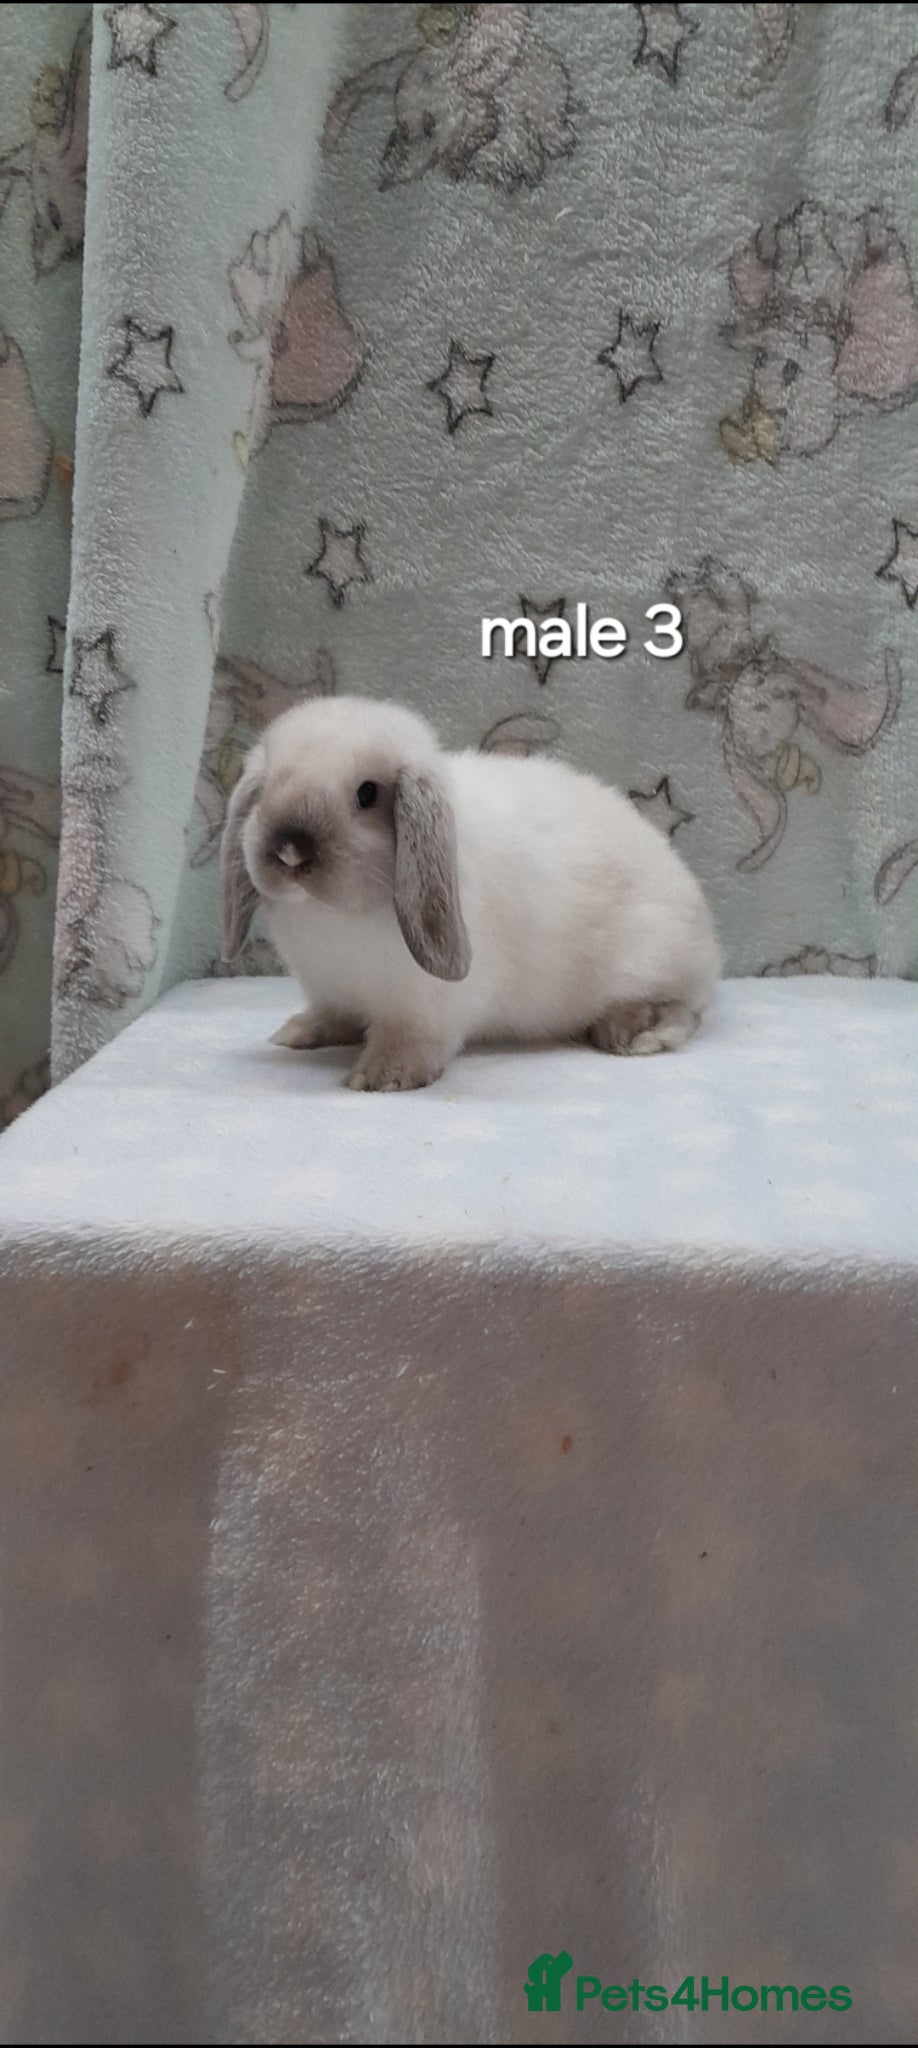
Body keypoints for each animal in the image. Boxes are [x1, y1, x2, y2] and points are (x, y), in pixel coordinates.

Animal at [221, 695, 721, 1091]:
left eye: (367, 793)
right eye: (266, 788)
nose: (289, 852)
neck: (334, 917)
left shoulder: (423, 1008)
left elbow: (411, 1040)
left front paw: (382, 1077)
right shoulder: (329, 990)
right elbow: (332, 1014)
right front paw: (298, 1033)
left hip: (654, 961)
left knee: (685, 1010)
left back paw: (635, 1033)